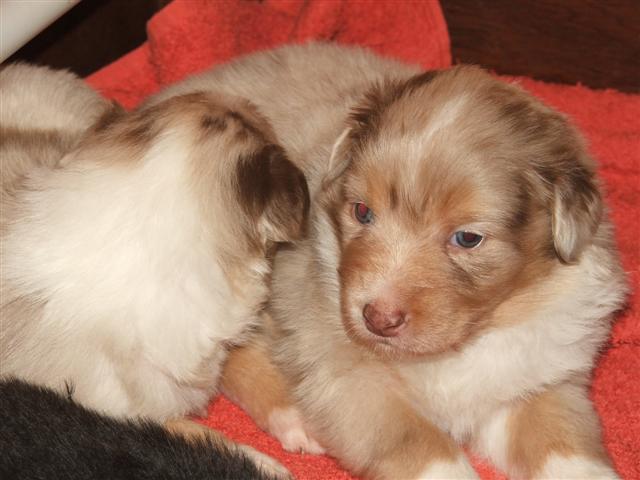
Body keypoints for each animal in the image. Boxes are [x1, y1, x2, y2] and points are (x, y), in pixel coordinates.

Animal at [151, 43, 627, 478]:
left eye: (467, 238)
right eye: (363, 211)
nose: (378, 319)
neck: (461, 346)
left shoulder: (538, 380)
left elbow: (563, 444)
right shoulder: (351, 378)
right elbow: (425, 448)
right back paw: (293, 419)